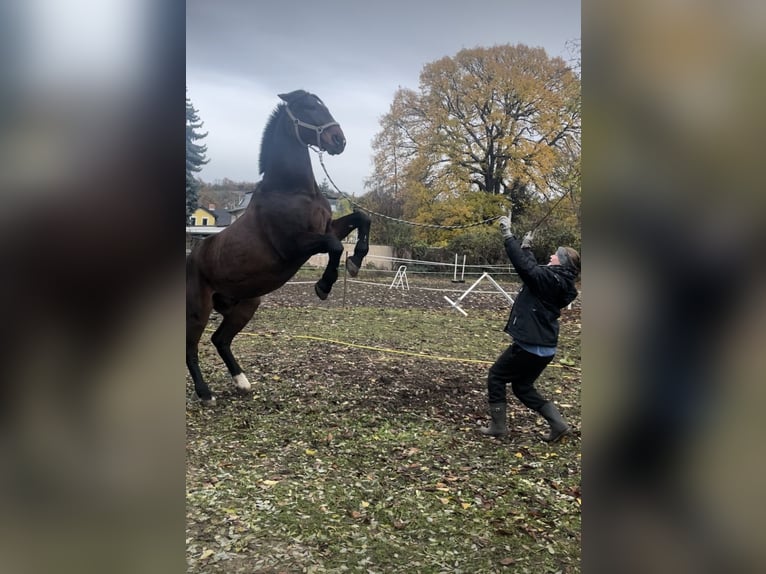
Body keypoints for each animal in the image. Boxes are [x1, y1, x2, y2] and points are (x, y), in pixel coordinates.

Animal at [188, 90, 370, 404]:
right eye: (309, 107)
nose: (339, 140)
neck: (292, 190)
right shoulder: (296, 245)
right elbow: (334, 246)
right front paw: (324, 286)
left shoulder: (326, 228)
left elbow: (362, 218)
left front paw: (356, 260)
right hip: (199, 309)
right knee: (192, 348)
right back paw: (205, 393)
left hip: (245, 305)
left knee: (220, 340)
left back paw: (242, 383)